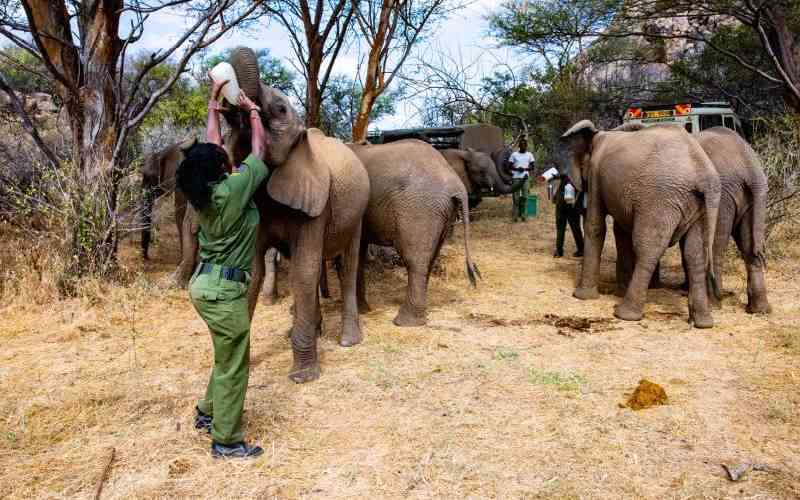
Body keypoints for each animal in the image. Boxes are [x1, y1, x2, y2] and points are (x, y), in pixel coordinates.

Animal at [348, 139, 480, 326]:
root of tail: (456, 183)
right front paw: (363, 311)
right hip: (441, 211)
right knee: (430, 258)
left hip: (419, 209)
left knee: (415, 260)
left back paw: (405, 322)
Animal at [562, 120, 722, 328]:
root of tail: (704, 174)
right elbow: (620, 231)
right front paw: (618, 291)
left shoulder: (596, 175)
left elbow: (595, 226)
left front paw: (582, 297)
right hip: (699, 205)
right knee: (694, 254)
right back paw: (702, 322)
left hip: (660, 200)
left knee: (647, 249)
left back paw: (624, 314)